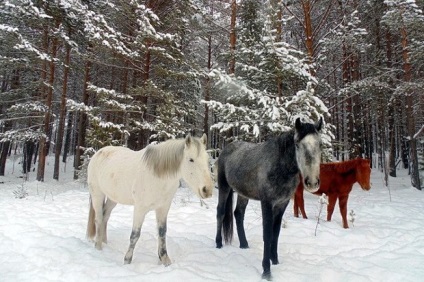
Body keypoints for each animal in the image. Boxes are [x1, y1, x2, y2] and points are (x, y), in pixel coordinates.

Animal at [86, 133, 214, 266]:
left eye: (207, 159)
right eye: (191, 159)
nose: (207, 190)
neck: (157, 176)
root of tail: (98, 153)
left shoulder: (163, 208)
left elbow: (162, 232)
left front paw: (165, 260)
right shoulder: (140, 209)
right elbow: (135, 235)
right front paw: (127, 260)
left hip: (113, 198)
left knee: (105, 216)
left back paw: (104, 241)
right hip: (97, 195)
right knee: (99, 219)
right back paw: (98, 246)